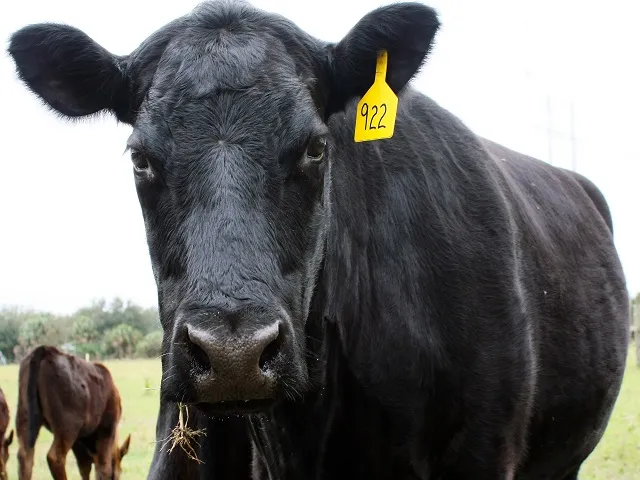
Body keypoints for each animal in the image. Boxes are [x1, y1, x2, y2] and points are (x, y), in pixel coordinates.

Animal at [14, 346, 131, 480]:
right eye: (119, 472)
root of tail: (46, 350)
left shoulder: (79, 440)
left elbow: (84, 467)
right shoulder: (106, 428)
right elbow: (103, 467)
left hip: (24, 416)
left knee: (24, 455)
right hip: (67, 428)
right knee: (55, 457)